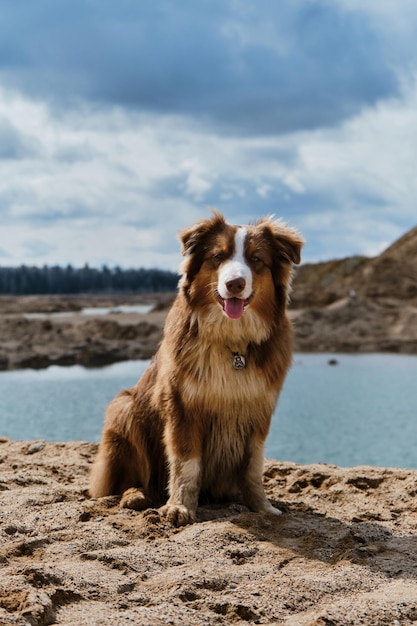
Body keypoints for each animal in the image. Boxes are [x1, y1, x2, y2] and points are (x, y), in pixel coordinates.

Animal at [88, 212, 302, 524]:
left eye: (256, 259)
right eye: (218, 256)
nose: (235, 283)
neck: (233, 343)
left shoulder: (259, 408)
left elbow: (253, 465)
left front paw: (261, 506)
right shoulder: (182, 405)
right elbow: (185, 462)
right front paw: (179, 506)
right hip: (123, 409)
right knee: (122, 482)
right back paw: (135, 495)